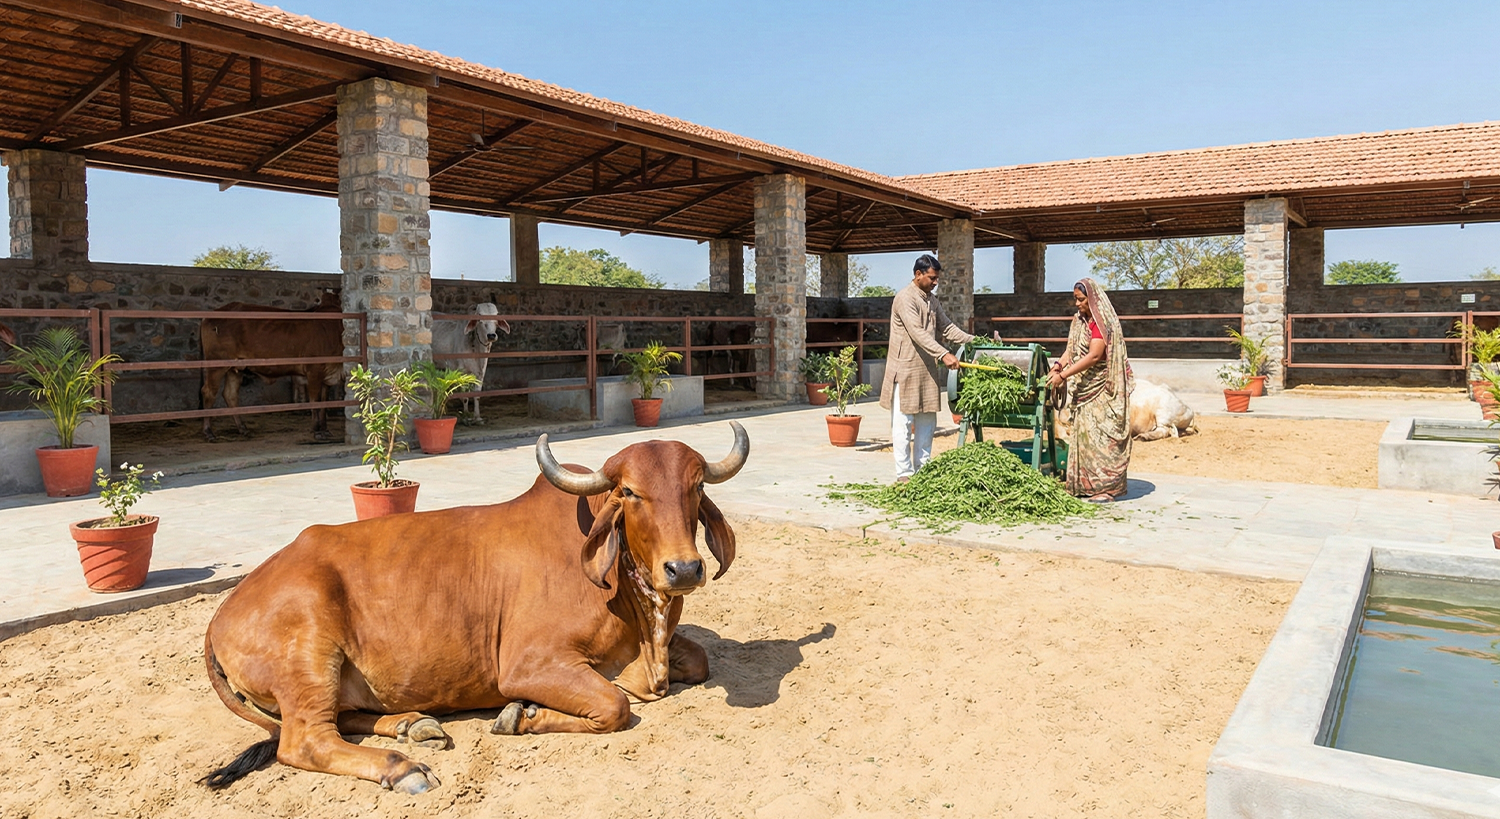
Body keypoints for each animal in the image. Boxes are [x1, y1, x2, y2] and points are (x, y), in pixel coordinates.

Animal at [199, 292, 342, 442]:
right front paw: (317, 431)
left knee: (230, 395)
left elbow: (325, 404)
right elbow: (316, 403)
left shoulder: (328, 374)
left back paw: (243, 428)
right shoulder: (314, 371)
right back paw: (208, 432)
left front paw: (325, 430)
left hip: (236, 368)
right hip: (217, 364)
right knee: (208, 392)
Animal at [200, 422, 749, 793]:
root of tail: (223, 612)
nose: (684, 570)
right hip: (310, 652)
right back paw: (402, 767)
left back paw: (413, 725)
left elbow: (698, 662)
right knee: (304, 741)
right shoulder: (528, 663)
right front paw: (521, 716)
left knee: (342, 718)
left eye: (697, 486)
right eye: (630, 492)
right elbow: (615, 705)